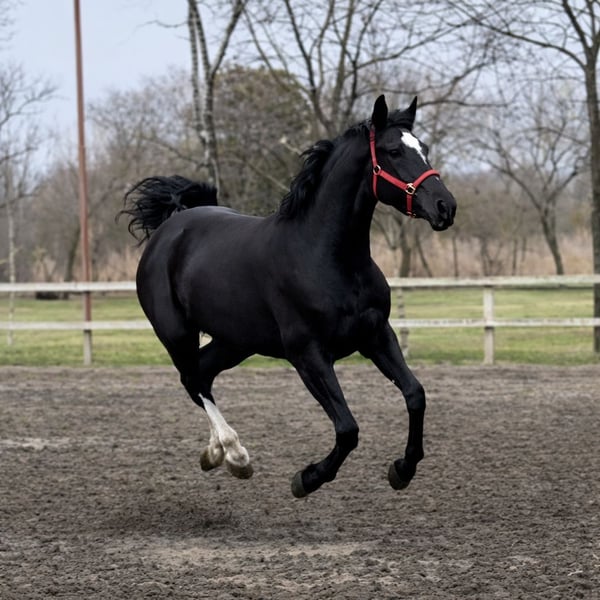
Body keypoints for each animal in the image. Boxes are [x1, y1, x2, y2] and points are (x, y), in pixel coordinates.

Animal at [120, 95, 456, 498]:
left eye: (424, 148)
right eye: (393, 151)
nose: (445, 207)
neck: (328, 258)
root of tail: (170, 227)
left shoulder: (377, 335)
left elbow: (415, 395)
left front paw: (402, 470)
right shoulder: (308, 354)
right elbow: (348, 428)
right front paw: (307, 479)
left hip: (235, 341)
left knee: (200, 375)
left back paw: (215, 455)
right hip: (176, 334)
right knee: (192, 379)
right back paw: (236, 455)